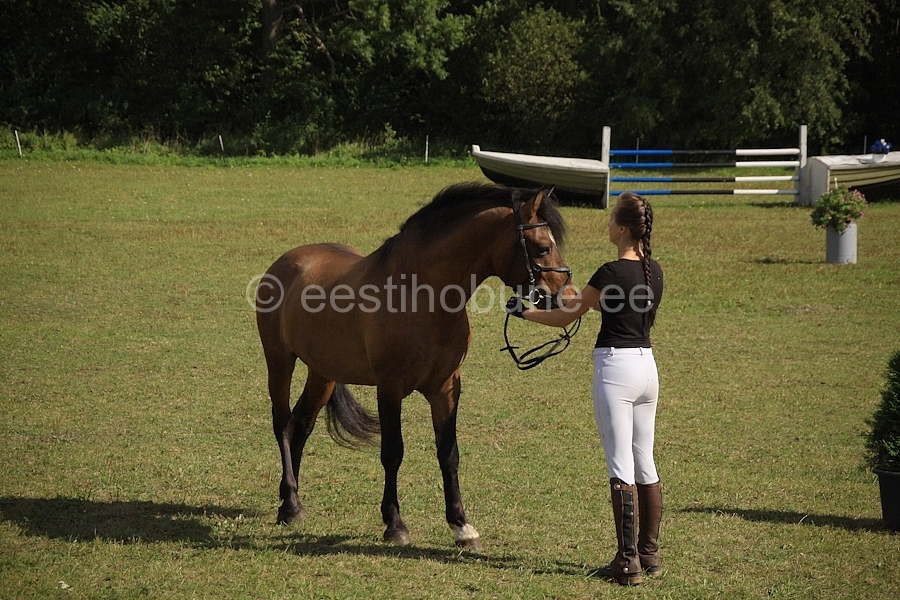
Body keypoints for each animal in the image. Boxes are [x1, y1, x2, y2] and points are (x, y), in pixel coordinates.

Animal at [255, 182, 572, 550]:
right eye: (542, 248)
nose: (566, 296)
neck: (421, 295)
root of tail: (287, 262)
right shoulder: (390, 387)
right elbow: (393, 452)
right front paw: (395, 524)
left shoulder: (446, 387)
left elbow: (449, 453)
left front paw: (462, 527)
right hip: (279, 362)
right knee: (282, 424)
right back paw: (289, 506)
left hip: (323, 374)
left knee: (301, 426)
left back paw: (292, 500)